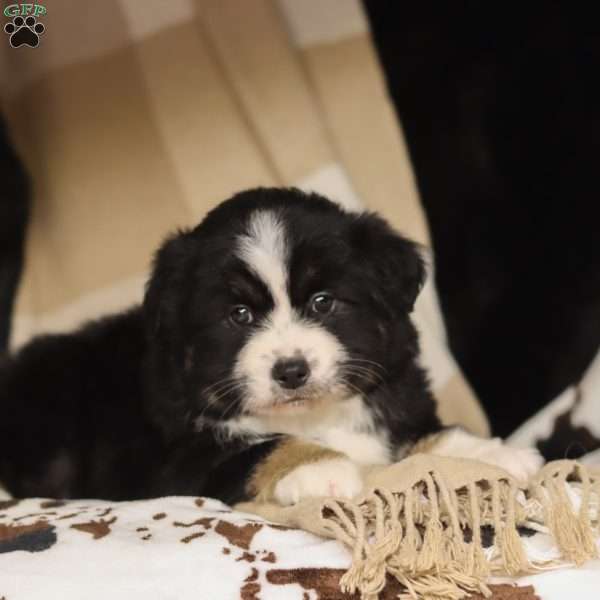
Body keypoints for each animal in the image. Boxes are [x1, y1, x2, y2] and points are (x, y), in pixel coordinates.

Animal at [0, 190, 544, 504]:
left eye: (323, 302)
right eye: (239, 315)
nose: (291, 371)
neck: (314, 417)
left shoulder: (398, 401)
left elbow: (430, 433)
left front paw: (490, 454)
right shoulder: (179, 460)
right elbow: (264, 446)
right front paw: (323, 468)